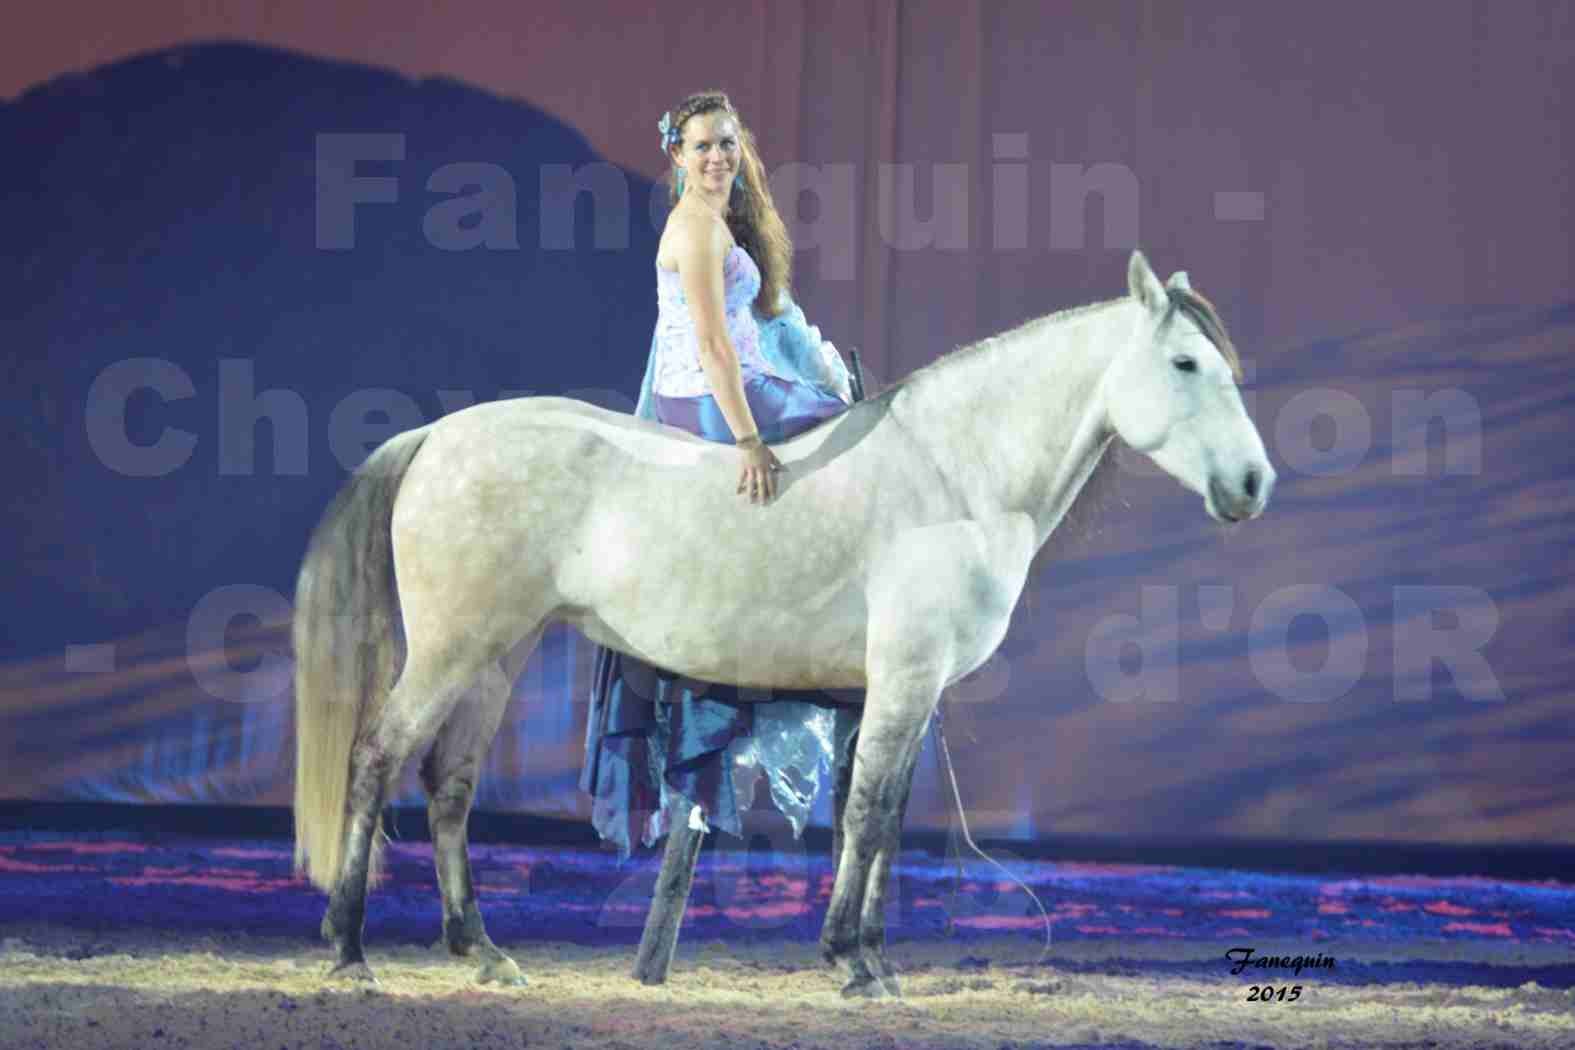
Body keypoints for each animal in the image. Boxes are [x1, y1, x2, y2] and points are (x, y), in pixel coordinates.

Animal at [292, 250, 1278, 1001]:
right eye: (1185, 364)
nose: (1253, 484)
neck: (950, 474)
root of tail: (437, 437)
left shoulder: (909, 690)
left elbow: (885, 817)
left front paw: (870, 956)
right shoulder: (903, 678)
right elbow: (869, 813)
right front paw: (851, 961)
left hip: (497, 653)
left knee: (449, 784)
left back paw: (481, 951)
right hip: (454, 649)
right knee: (376, 759)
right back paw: (348, 949)